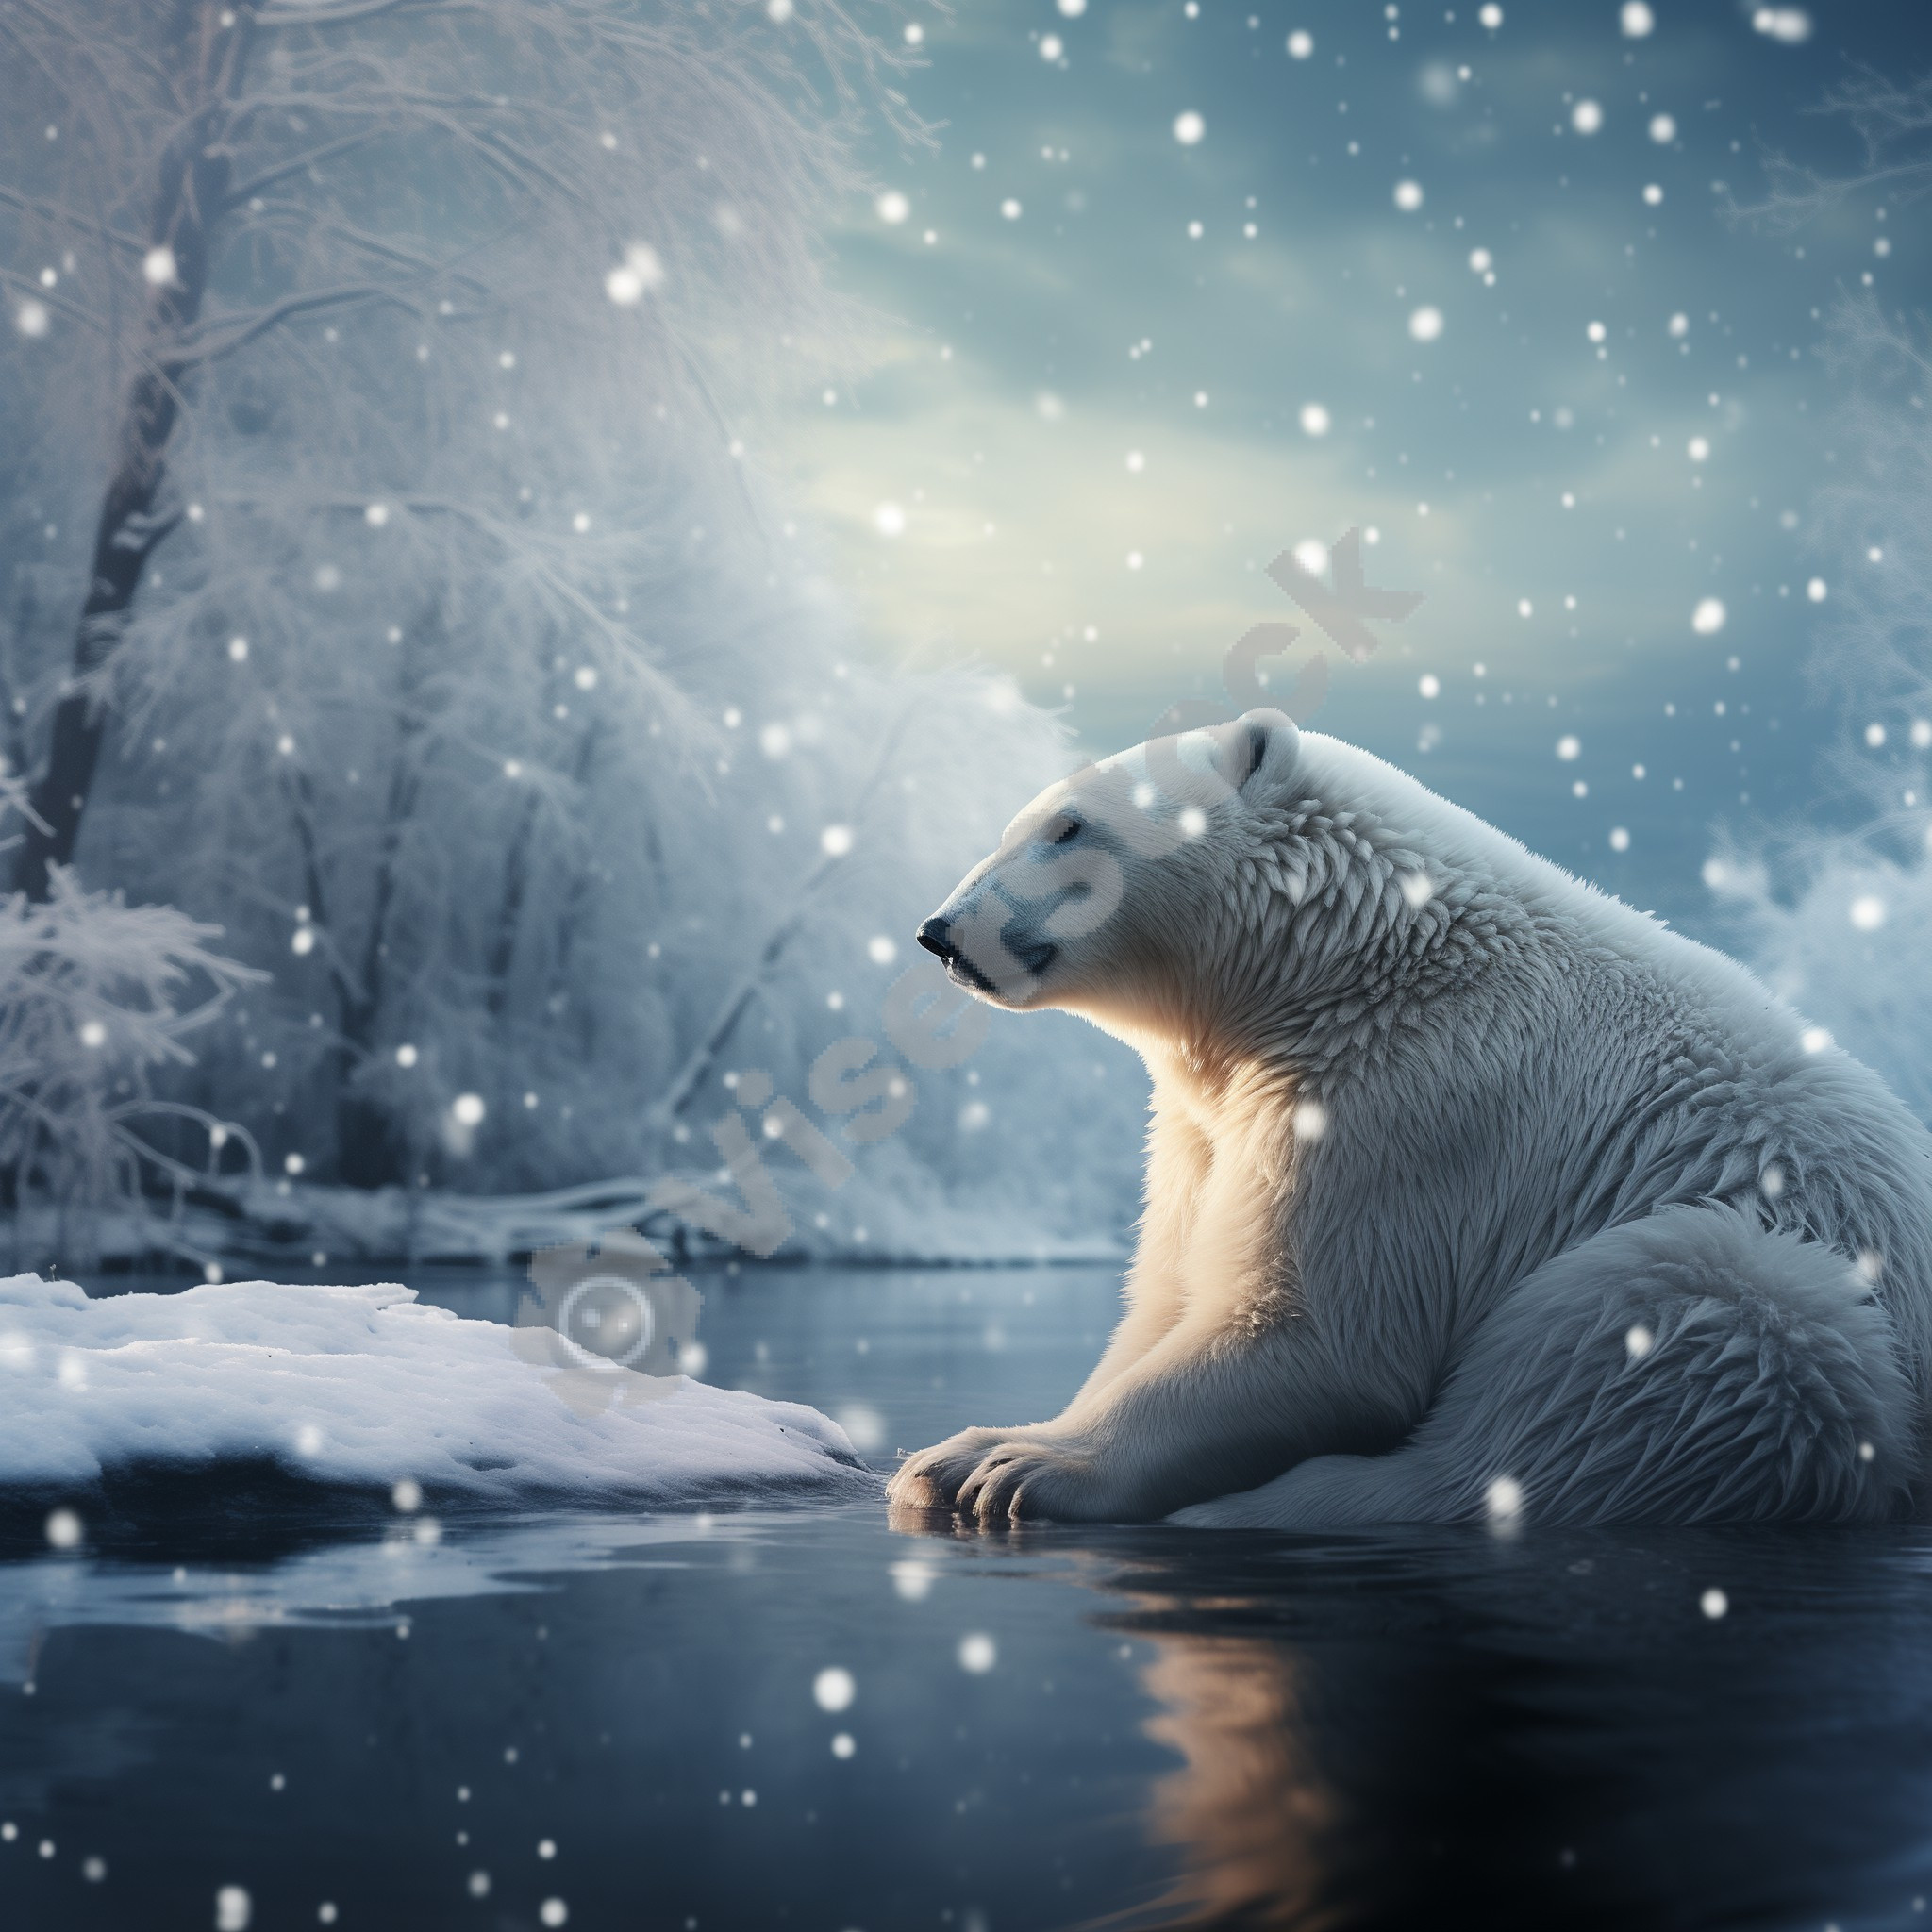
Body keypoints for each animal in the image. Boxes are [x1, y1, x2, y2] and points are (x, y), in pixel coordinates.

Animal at [885, 709, 1932, 1528]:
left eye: (1068, 826)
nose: (938, 932)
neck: (1351, 959)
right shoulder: (1213, 1117)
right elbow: (1171, 1287)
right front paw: (960, 1450)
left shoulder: (1406, 1103)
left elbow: (1317, 1334)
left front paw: (1024, 1468)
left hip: (1744, 1297)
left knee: (1630, 1357)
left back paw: (1271, 1502)